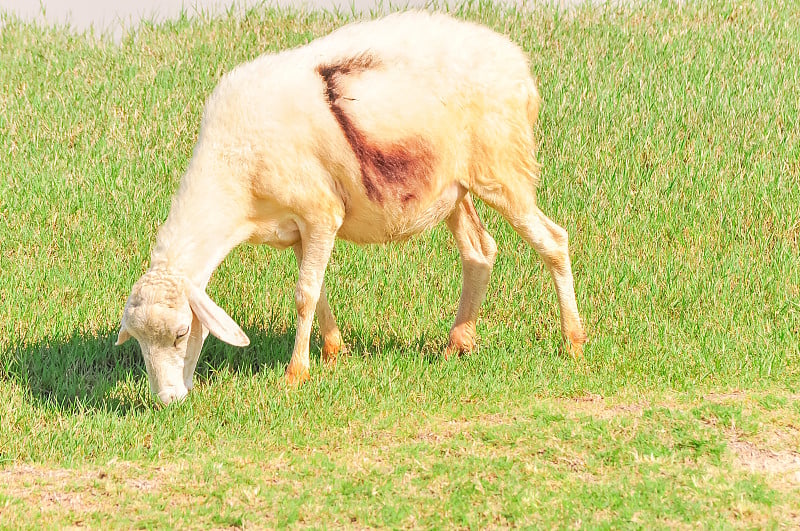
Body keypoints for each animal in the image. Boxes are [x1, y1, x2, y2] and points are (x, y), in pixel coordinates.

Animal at [114, 11, 588, 404]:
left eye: (181, 333)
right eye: (137, 341)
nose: (168, 401)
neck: (233, 177)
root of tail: (518, 65)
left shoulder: (321, 212)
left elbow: (304, 294)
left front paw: (296, 373)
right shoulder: (295, 228)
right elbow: (317, 289)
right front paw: (333, 351)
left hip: (503, 170)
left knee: (553, 240)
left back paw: (573, 341)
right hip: (453, 187)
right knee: (480, 250)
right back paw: (458, 342)